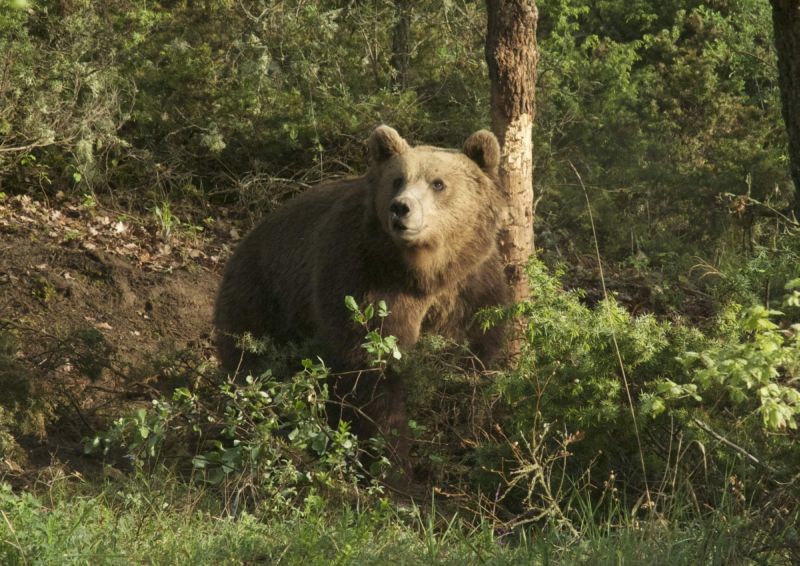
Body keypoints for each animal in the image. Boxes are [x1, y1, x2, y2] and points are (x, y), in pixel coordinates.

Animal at [212, 129, 510, 470]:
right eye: (397, 179)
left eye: (438, 183)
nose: (401, 208)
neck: (424, 271)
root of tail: (245, 241)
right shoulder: (364, 274)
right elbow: (371, 368)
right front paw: (392, 464)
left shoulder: (469, 284)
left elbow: (471, 352)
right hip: (262, 296)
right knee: (252, 363)